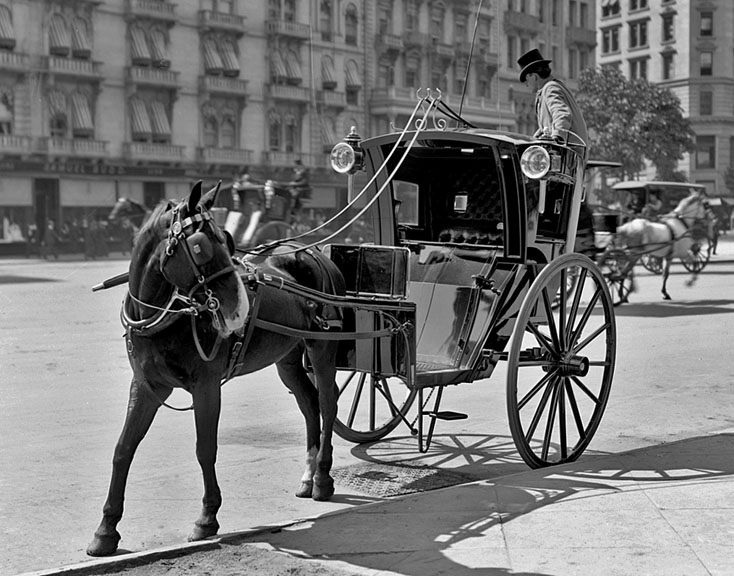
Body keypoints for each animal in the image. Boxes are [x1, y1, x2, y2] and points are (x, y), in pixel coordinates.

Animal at [87, 182, 346, 556]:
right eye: (199, 246)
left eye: (226, 240)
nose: (239, 307)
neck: (168, 314)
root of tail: (311, 251)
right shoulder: (146, 385)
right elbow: (123, 449)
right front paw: (106, 529)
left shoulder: (207, 385)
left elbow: (204, 448)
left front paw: (207, 517)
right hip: (287, 356)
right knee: (310, 404)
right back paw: (309, 476)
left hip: (322, 348)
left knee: (327, 401)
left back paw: (323, 478)